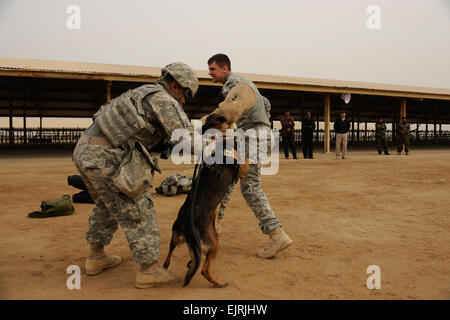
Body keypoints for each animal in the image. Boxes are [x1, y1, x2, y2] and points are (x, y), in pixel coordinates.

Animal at [163, 115, 248, 288]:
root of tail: (185, 225)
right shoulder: (242, 169)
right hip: (213, 244)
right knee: (203, 270)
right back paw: (218, 283)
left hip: (177, 236)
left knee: (171, 249)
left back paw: (167, 265)